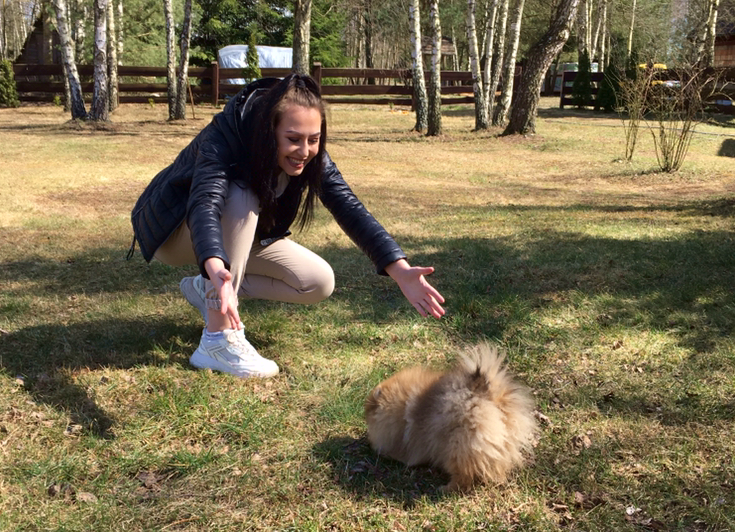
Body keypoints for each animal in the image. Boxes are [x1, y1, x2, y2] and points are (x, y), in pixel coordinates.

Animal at [366, 342, 536, 492]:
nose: (365, 413)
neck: (399, 409)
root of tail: (488, 395)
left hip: (459, 444)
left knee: (464, 476)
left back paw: (446, 488)